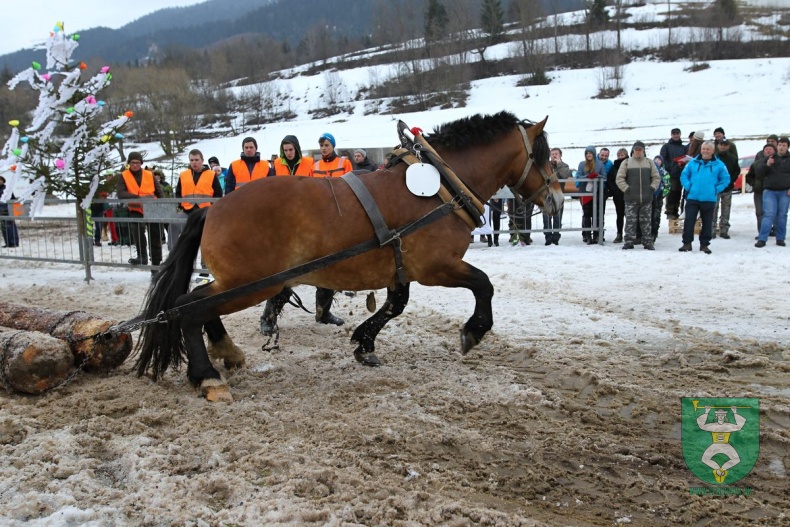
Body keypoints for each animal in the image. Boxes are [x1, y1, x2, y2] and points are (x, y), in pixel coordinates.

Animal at [138, 110, 568, 400]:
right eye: (541, 155)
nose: (557, 199)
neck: (443, 187)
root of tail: (213, 209)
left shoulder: (399, 265)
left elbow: (395, 305)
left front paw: (365, 344)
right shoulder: (437, 267)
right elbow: (483, 284)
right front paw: (474, 330)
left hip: (239, 283)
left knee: (198, 307)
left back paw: (227, 353)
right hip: (251, 284)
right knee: (188, 308)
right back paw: (207, 375)